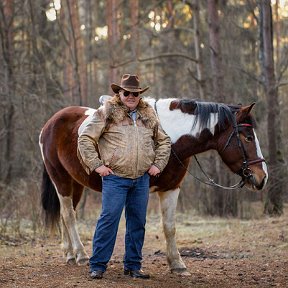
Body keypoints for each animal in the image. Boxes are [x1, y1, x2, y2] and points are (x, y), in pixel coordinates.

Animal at [38, 97, 268, 274]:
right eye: (248, 137)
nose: (262, 177)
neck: (172, 139)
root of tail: (50, 123)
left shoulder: (171, 189)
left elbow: (169, 227)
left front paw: (177, 264)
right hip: (60, 180)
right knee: (68, 215)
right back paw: (81, 255)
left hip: (75, 183)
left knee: (66, 215)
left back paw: (69, 254)